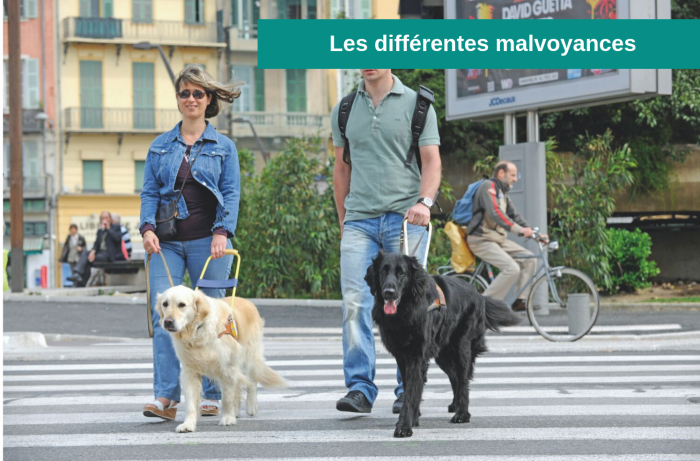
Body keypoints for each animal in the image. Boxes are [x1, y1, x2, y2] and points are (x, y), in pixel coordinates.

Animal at [156, 284, 284, 432]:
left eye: (182, 305)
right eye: (165, 304)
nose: (167, 321)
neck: (198, 331)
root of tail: (248, 301)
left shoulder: (227, 367)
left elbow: (227, 398)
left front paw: (227, 418)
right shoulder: (189, 371)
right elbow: (190, 402)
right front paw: (188, 424)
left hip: (250, 357)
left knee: (252, 381)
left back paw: (251, 406)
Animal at [366, 250, 520, 436]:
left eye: (401, 273)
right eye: (383, 271)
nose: (388, 292)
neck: (405, 312)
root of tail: (479, 295)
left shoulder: (415, 357)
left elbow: (411, 392)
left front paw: (404, 426)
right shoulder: (402, 357)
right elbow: (413, 389)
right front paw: (413, 419)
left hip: (462, 349)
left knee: (463, 380)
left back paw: (462, 414)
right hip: (443, 355)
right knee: (456, 378)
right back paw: (456, 405)